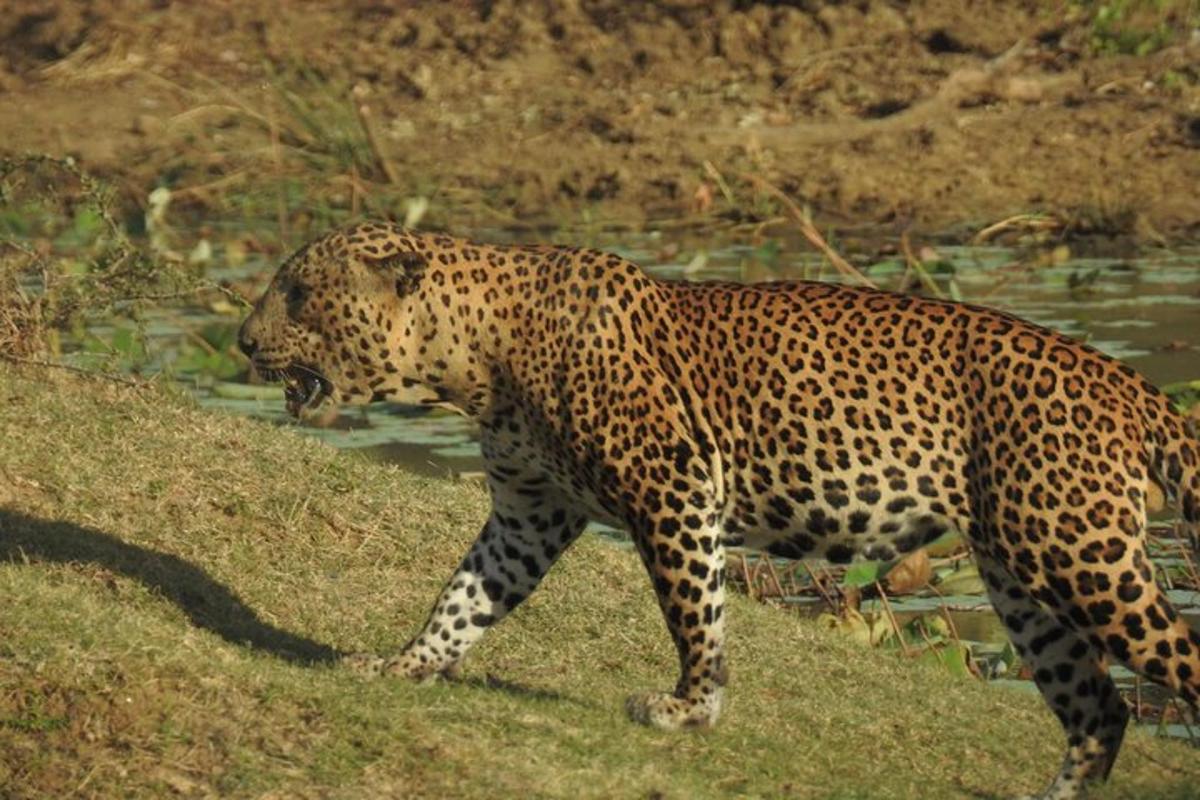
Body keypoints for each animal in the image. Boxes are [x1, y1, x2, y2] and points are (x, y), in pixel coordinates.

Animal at [236, 221, 1200, 800]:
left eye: (298, 293)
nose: (242, 342)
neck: (471, 356)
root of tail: (1135, 386)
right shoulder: (528, 513)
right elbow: (462, 599)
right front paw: (402, 666)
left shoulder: (672, 488)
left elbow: (694, 611)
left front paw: (690, 708)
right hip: (1025, 583)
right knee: (1101, 713)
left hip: (1083, 557)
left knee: (1173, 668)